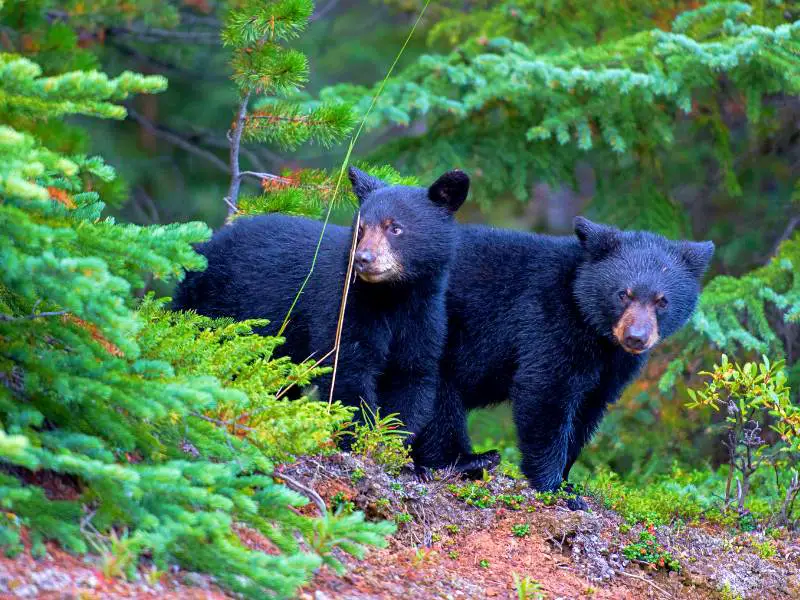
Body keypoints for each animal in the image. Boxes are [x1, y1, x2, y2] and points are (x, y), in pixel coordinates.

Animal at [172, 166, 466, 438]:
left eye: (395, 228)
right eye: (360, 229)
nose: (363, 258)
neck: (392, 296)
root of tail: (207, 245)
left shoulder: (424, 315)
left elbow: (412, 375)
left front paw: (390, 438)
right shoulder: (344, 304)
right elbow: (346, 368)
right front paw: (357, 435)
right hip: (206, 304)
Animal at [412, 216, 712, 502]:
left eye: (662, 301)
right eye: (623, 294)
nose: (636, 338)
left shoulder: (614, 365)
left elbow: (588, 408)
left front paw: (568, 478)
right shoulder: (548, 318)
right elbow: (546, 390)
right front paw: (554, 486)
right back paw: (467, 460)